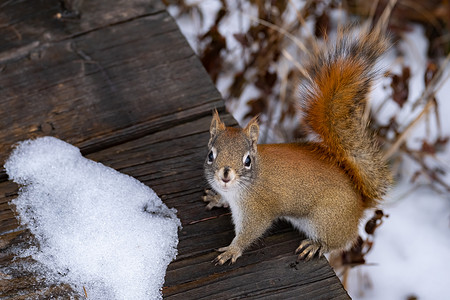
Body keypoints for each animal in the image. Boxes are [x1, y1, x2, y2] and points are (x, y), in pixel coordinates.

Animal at [202, 26, 392, 264]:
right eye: (211, 155)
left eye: (247, 161)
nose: (225, 176)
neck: (239, 188)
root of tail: (359, 203)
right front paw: (217, 198)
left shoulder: (257, 209)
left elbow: (250, 233)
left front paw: (231, 250)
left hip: (327, 220)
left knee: (337, 242)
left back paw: (315, 245)